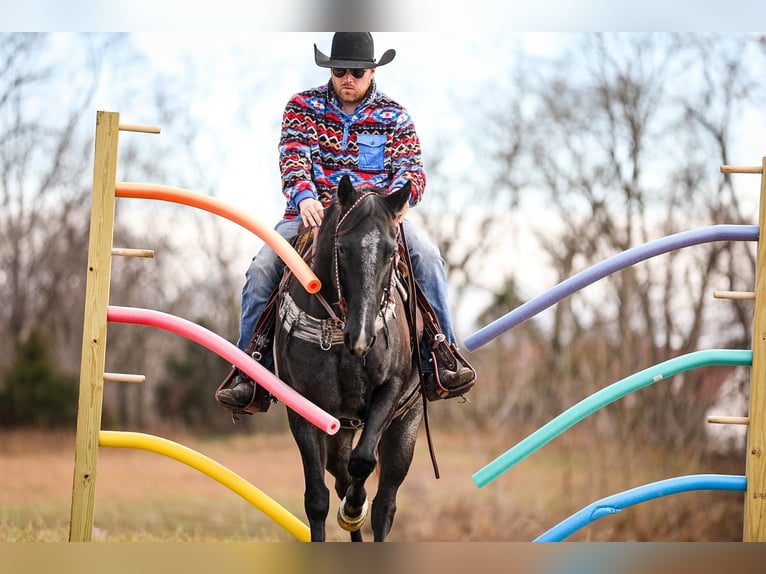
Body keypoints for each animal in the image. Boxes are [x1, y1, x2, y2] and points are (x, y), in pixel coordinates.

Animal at [274, 176, 424, 544]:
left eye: (390, 251)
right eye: (342, 248)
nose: (362, 336)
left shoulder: (390, 390)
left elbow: (364, 462)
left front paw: (356, 507)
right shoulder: (303, 406)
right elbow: (317, 499)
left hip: (406, 422)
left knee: (385, 503)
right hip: (339, 429)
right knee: (341, 476)